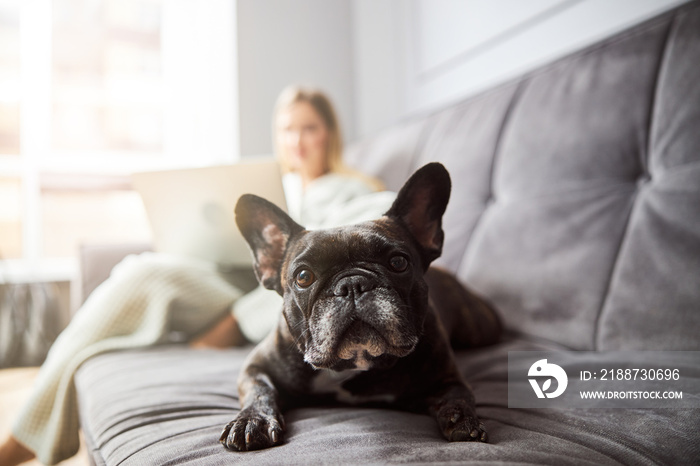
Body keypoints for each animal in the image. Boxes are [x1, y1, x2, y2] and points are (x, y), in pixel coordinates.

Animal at [221, 162, 500, 450]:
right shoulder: (256, 366)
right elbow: (259, 390)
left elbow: (458, 395)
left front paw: (464, 421)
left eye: (398, 262)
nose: (353, 284)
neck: (351, 365)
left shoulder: (446, 376)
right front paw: (253, 420)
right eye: (303, 276)